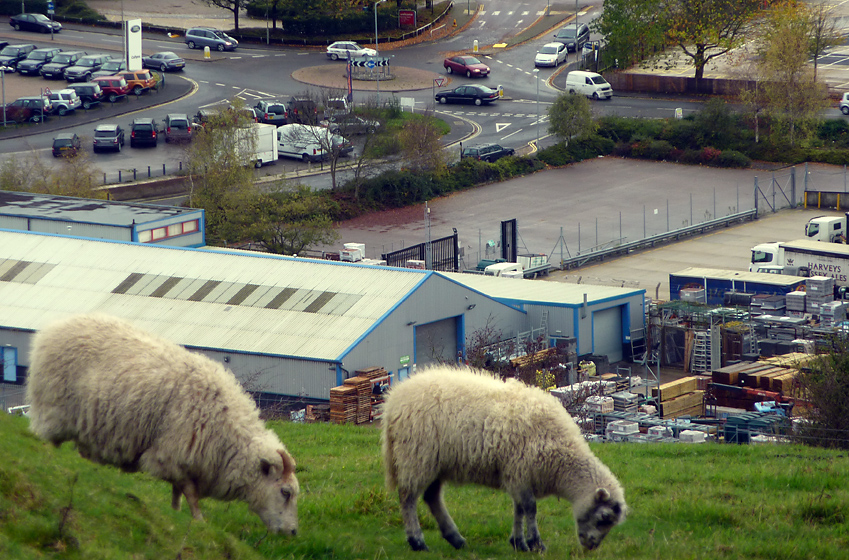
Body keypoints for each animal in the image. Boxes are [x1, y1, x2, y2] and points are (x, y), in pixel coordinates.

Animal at [24, 312, 298, 536]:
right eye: (285, 492)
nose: (294, 532)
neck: (228, 434)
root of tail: (52, 329)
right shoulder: (172, 454)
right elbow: (190, 494)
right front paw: (199, 521)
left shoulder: (184, 460)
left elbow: (178, 493)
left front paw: (175, 514)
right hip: (53, 411)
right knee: (48, 442)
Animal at [380, 366, 628, 552]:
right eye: (603, 517)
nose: (591, 546)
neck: (562, 458)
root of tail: (394, 400)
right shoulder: (520, 470)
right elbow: (529, 508)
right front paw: (535, 543)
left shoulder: (517, 475)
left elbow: (519, 509)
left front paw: (519, 542)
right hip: (416, 456)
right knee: (408, 498)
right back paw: (417, 541)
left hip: (434, 461)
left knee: (431, 497)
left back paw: (455, 538)